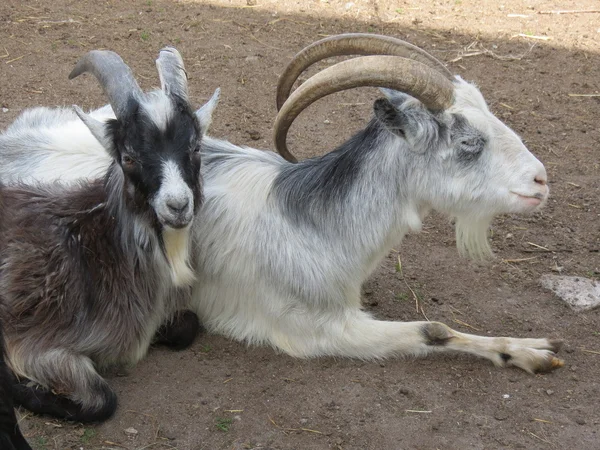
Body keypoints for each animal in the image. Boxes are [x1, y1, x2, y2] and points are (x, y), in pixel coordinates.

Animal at [0, 34, 564, 372]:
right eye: (469, 141)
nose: (540, 181)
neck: (322, 228)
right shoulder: (317, 330)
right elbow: (433, 329)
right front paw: (530, 352)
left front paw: (531, 346)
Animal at [0, 46, 217, 422]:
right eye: (128, 157)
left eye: (195, 148)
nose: (177, 206)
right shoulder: (31, 343)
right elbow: (103, 400)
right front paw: (26, 389)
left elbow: (188, 326)